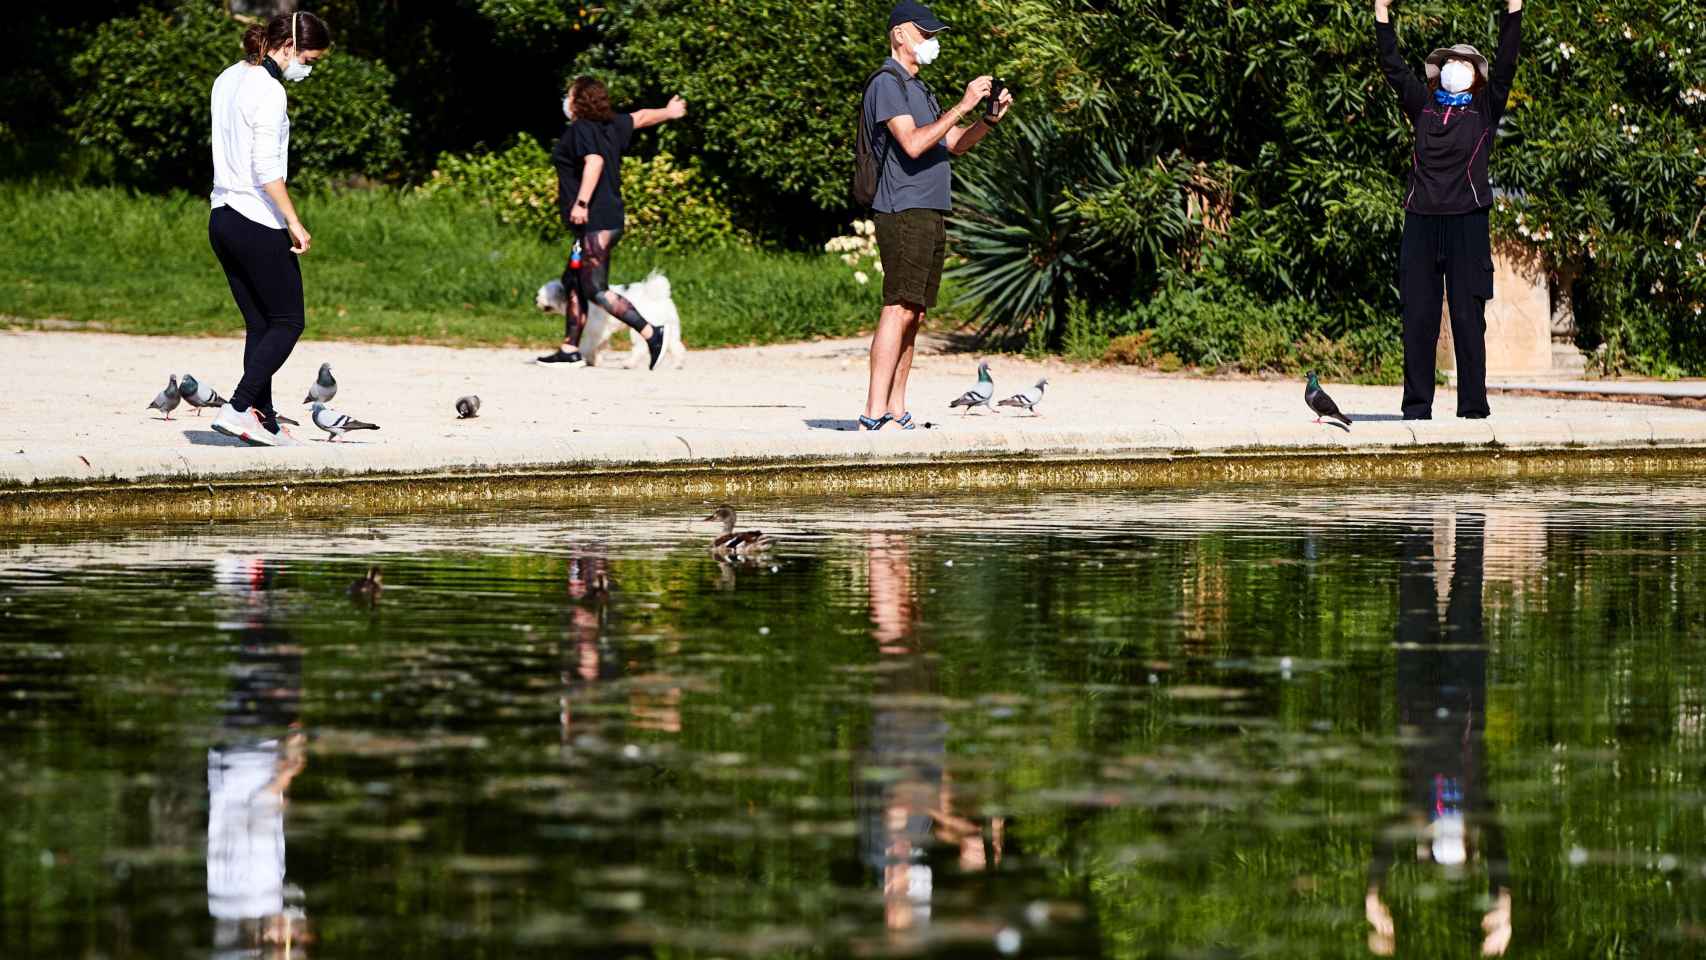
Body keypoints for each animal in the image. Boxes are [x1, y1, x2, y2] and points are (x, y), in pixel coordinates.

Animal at [535, 274, 689, 375]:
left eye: (543, 295)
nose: (536, 300)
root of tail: (657, 294)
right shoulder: (601, 333)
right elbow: (599, 347)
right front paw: (595, 361)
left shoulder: (595, 331)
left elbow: (588, 345)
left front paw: (582, 356)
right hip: (671, 329)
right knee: (676, 346)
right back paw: (678, 364)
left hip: (640, 331)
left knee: (641, 348)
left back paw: (628, 363)